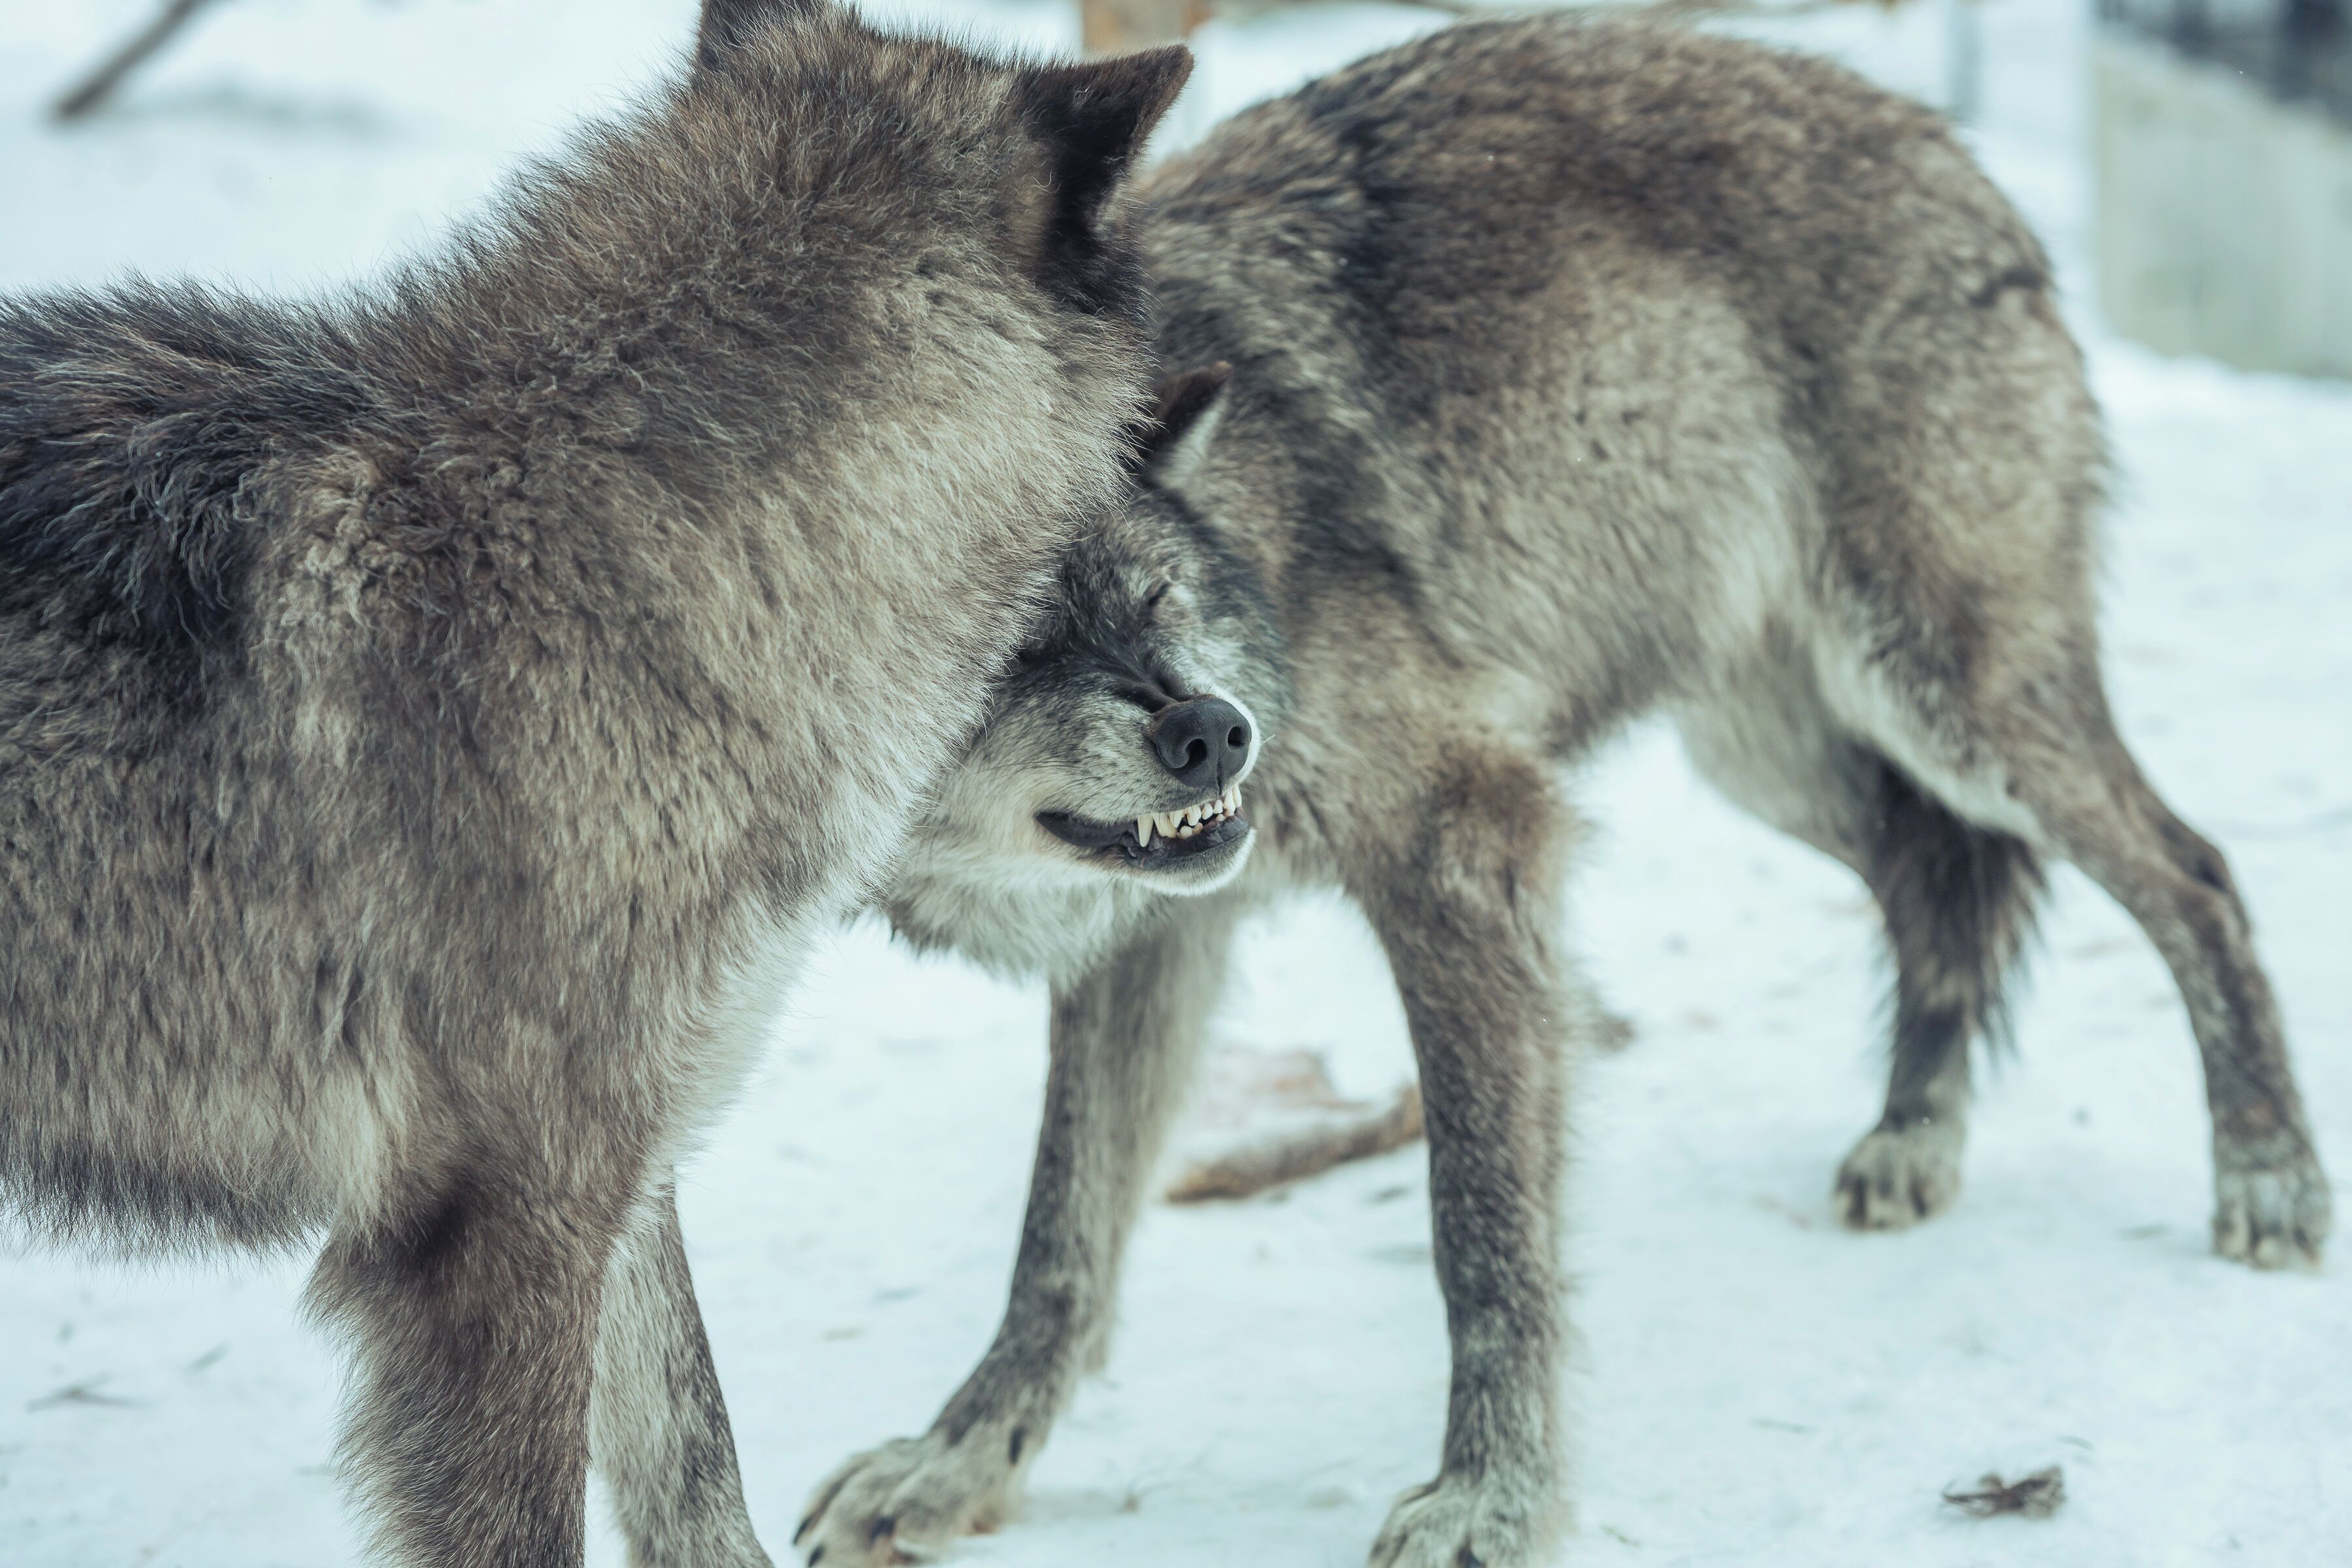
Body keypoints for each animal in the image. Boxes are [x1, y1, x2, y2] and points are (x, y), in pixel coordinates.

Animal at [792, 15, 2332, 1567]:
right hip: (1773, 755)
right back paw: (1913, 1137)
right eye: (1014, 650)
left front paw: (1493, 1499)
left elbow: (1477, 1230)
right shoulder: (1154, 924)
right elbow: (1059, 1235)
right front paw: (958, 1461)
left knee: (2193, 872)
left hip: (1949, 700)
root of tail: (1939, 137)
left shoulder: (1473, 847)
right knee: (1931, 875)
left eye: (1157, 599)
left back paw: (2268, 1180)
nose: (1217, 737)